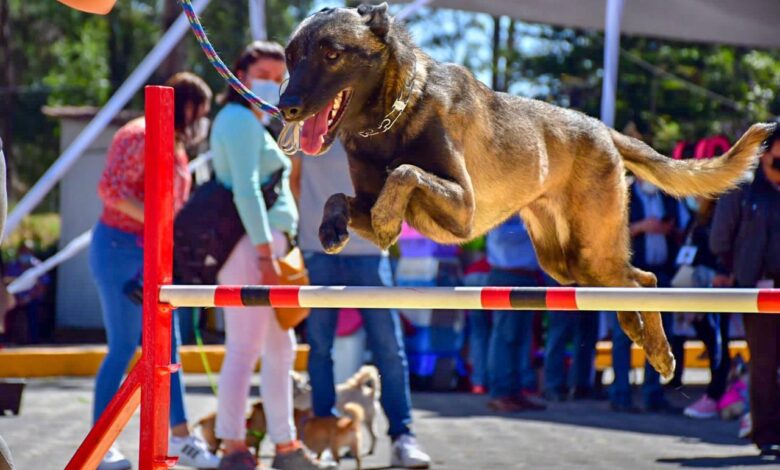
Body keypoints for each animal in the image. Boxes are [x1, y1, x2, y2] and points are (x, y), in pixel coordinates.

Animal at [278, 1, 772, 376]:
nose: (286, 107)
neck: (396, 113)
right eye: (289, 55)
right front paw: (332, 229)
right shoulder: (383, 209)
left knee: (644, 280)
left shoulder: (463, 210)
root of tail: (602, 129)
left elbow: (404, 173)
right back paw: (639, 335)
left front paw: (383, 211)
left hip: (590, 250)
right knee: (633, 282)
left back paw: (658, 351)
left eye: (331, 54)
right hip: (568, 266)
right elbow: (341, 197)